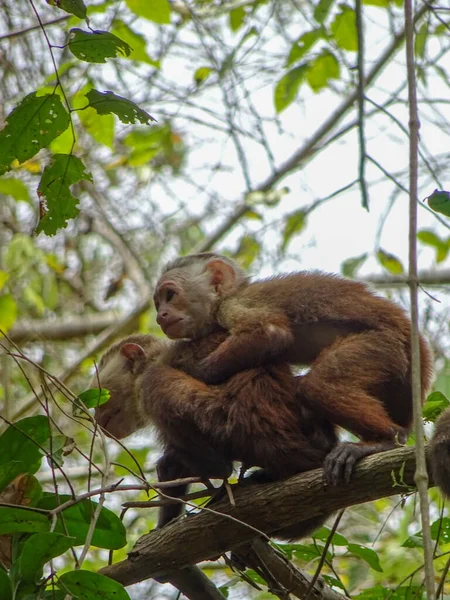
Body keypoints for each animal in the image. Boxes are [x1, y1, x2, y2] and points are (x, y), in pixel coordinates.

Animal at [96, 332, 342, 540]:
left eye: (101, 394)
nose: (96, 416)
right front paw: (165, 523)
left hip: (230, 420)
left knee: (157, 383)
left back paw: (216, 467)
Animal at [154, 251, 432, 476]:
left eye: (171, 295)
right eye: (158, 304)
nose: (160, 316)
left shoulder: (233, 306)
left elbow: (270, 333)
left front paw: (195, 371)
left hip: (387, 346)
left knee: (318, 385)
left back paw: (385, 439)